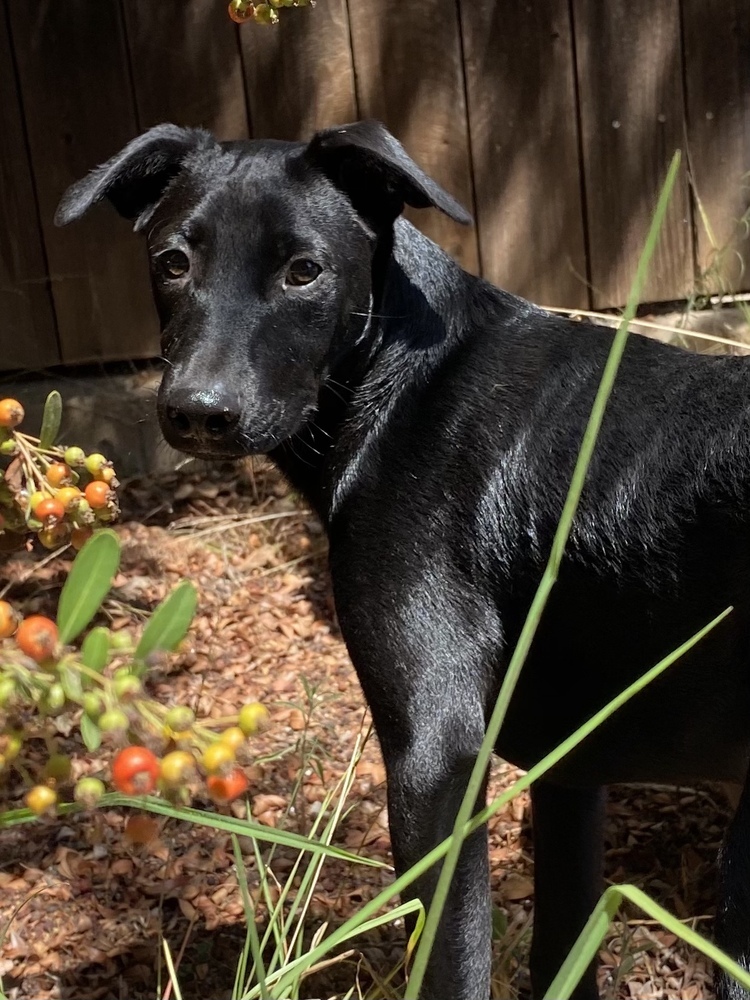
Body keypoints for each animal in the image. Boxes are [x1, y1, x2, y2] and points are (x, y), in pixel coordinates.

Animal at [55, 121, 750, 996]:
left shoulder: (434, 764)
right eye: (173, 261)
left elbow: (452, 964)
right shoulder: (568, 779)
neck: (403, 373)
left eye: (305, 270)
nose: (199, 411)